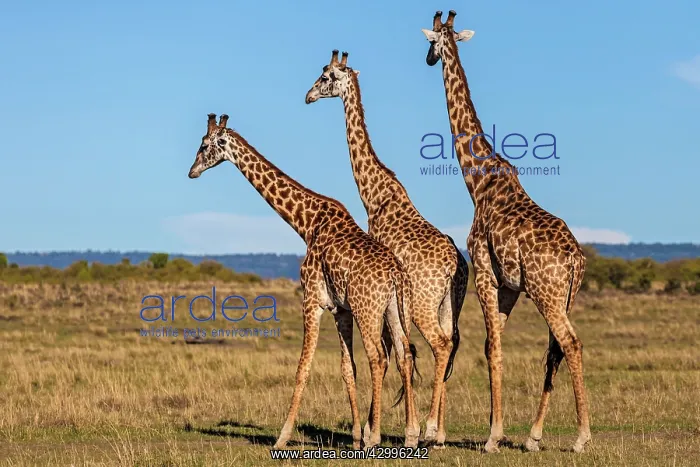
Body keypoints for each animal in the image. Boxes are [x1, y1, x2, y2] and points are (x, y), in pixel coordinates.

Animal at [188, 113, 420, 449]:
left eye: (205, 144)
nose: (191, 171)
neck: (307, 224)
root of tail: (395, 274)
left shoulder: (311, 299)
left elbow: (303, 367)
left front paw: (283, 436)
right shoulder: (341, 309)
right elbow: (347, 368)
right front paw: (354, 437)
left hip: (368, 310)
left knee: (378, 358)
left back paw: (376, 436)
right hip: (394, 309)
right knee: (404, 354)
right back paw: (411, 435)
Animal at [305, 50, 469, 448]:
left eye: (326, 76)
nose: (308, 96)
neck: (375, 195)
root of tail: (455, 265)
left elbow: (390, 353)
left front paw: (373, 429)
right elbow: (399, 353)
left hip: (424, 303)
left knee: (440, 345)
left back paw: (429, 428)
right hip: (450, 304)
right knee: (451, 343)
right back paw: (440, 433)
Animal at [421, 10, 591, 454]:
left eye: (430, 42)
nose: (428, 60)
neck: (477, 180)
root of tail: (576, 260)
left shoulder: (483, 270)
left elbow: (491, 347)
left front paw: (493, 435)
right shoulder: (510, 286)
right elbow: (493, 343)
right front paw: (499, 430)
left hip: (548, 293)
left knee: (571, 343)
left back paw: (581, 437)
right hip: (564, 295)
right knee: (554, 350)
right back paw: (534, 436)